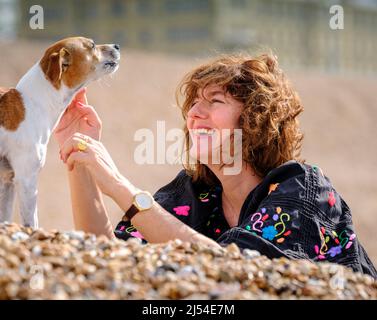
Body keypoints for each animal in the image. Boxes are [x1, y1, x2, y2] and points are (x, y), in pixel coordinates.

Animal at [0, 37, 119, 228]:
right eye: (92, 45)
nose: (117, 45)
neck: (34, 102)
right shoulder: (26, 179)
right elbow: (31, 222)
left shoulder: (7, 181)